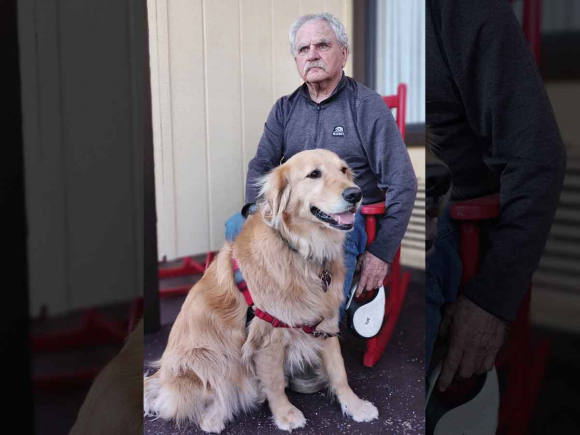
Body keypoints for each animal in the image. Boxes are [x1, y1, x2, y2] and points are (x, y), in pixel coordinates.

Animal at [144, 149, 378, 432]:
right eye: (314, 174)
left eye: (344, 170)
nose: (355, 194)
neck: (301, 251)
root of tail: (161, 376)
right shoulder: (267, 336)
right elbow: (275, 382)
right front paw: (285, 414)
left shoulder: (326, 322)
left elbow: (339, 372)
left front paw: (354, 406)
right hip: (210, 358)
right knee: (198, 400)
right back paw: (213, 418)